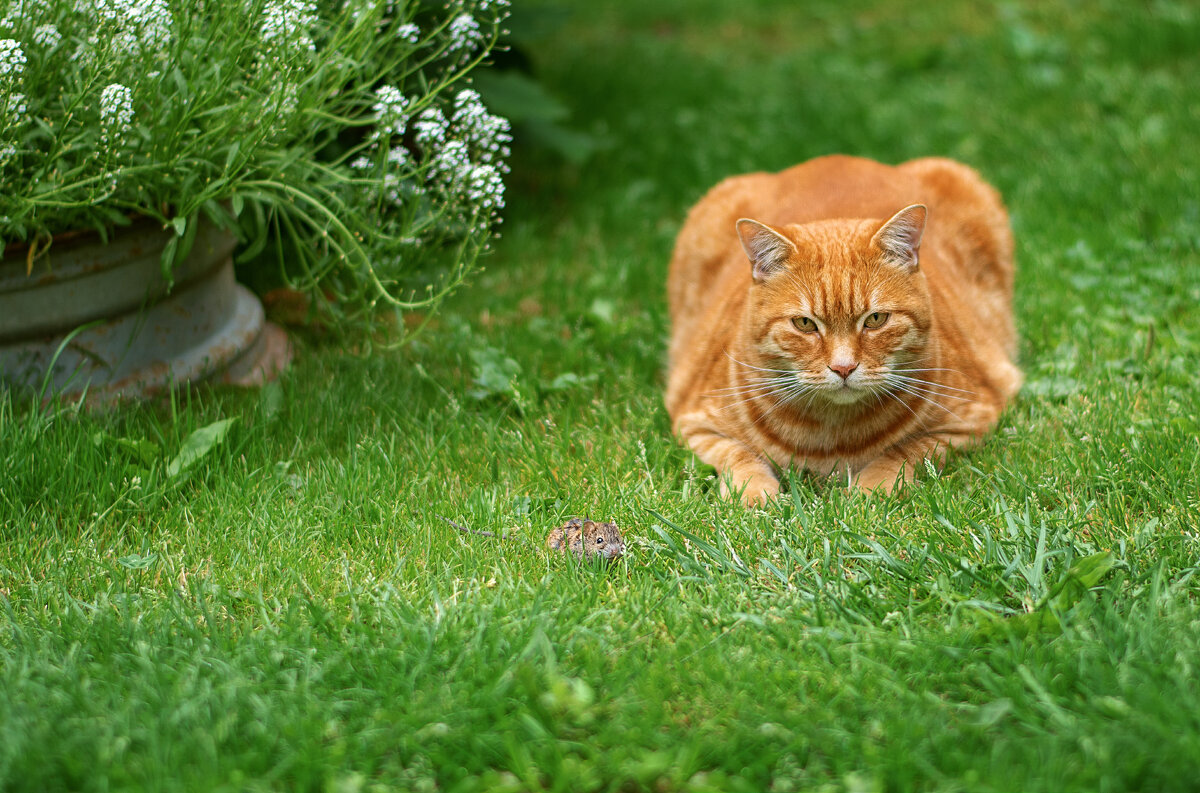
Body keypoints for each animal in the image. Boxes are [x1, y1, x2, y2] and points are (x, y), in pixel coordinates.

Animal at [667, 152, 1022, 506]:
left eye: (876, 320)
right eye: (805, 324)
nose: (843, 367)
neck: (833, 438)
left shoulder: (968, 423)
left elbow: (902, 451)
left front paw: (872, 488)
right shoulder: (696, 424)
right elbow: (739, 456)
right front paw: (754, 494)